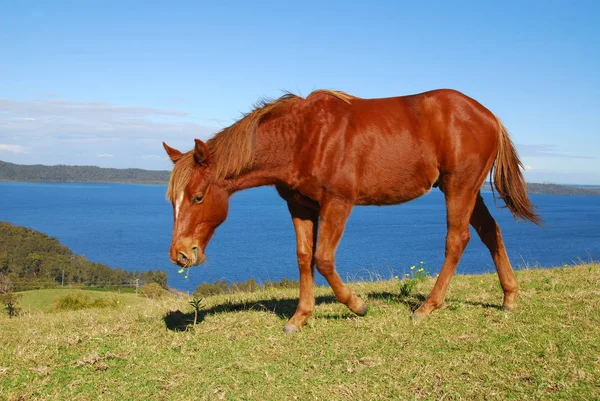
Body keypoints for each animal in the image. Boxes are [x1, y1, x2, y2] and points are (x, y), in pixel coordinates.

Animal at [163, 89, 540, 332]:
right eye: (172, 200)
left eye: (198, 197)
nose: (180, 254)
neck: (302, 137)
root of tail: (489, 116)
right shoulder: (299, 205)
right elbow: (304, 257)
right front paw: (300, 317)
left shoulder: (338, 202)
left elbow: (323, 258)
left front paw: (357, 305)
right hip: (464, 189)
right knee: (490, 231)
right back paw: (509, 297)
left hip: (461, 187)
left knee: (457, 240)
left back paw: (427, 308)